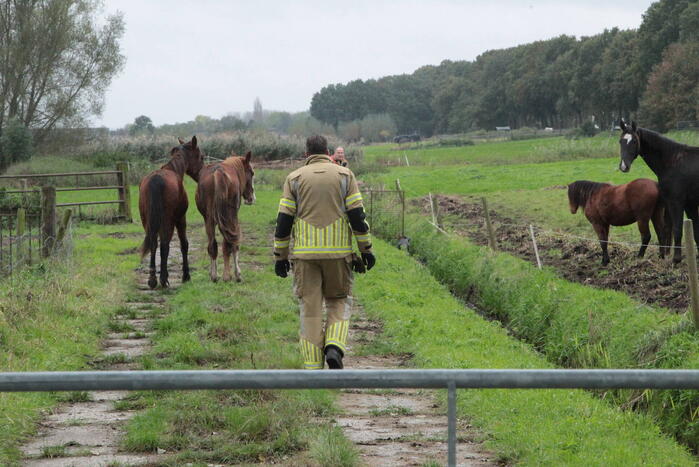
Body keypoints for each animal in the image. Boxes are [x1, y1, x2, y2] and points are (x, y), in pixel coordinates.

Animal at [139, 136, 204, 288]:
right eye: (201, 157)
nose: (202, 173)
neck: (174, 170)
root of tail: (156, 180)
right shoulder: (180, 219)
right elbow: (183, 244)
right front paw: (186, 275)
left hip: (147, 221)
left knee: (154, 244)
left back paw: (152, 279)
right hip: (167, 221)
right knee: (164, 245)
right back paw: (163, 279)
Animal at [195, 151, 255, 282]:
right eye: (252, 173)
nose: (251, 198)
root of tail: (218, 172)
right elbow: (230, 244)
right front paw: (233, 274)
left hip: (209, 220)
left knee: (212, 246)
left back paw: (214, 276)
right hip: (230, 218)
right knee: (231, 243)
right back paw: (231, 275)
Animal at [618, 120, 699, 263]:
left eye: (634, 141)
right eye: (620, 141)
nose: (624, 166)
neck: (672, 161)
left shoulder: (676, 202)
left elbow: (677, 229)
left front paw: (676, 259)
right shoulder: (690, 204)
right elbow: (696, 232)